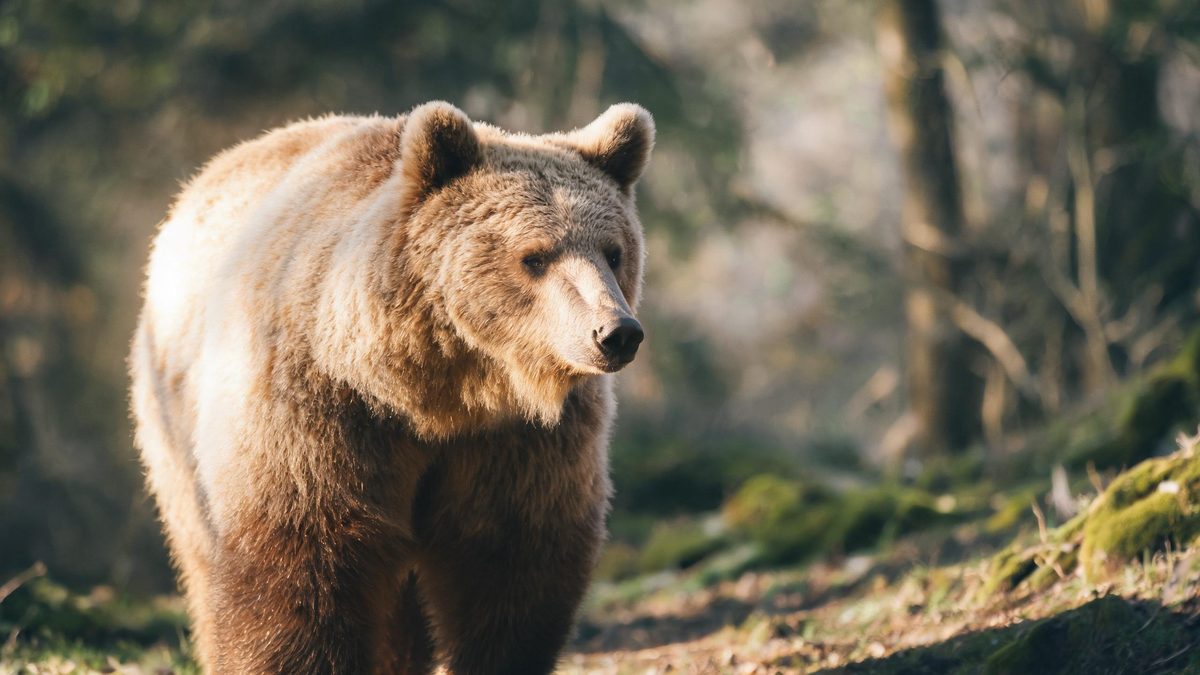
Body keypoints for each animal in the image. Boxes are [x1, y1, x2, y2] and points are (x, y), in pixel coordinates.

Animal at [128, 101, 653, 674]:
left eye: (613, 252)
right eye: (535, 256)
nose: (615, 333)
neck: (436, 394)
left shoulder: (518, 441)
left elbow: (509, 562)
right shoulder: (324, 411)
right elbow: (303, 564)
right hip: (173, 421)